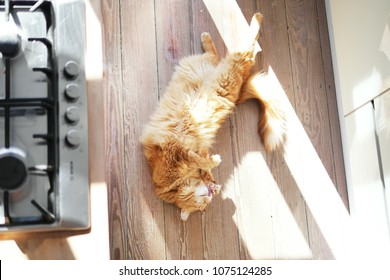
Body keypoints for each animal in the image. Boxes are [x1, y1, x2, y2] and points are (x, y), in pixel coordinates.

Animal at [140, 13, 286, 221]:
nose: (211, 193)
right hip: (224, 73)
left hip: (228, 74)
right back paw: (212, 36)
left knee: (244, 50)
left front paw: (211, 163)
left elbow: (198, 159)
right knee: (223, 55)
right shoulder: (180, 151)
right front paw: (212, 166)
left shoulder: (176, 151)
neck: (171, 184)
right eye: (202, 206)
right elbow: (202, 160)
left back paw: (253, 19)